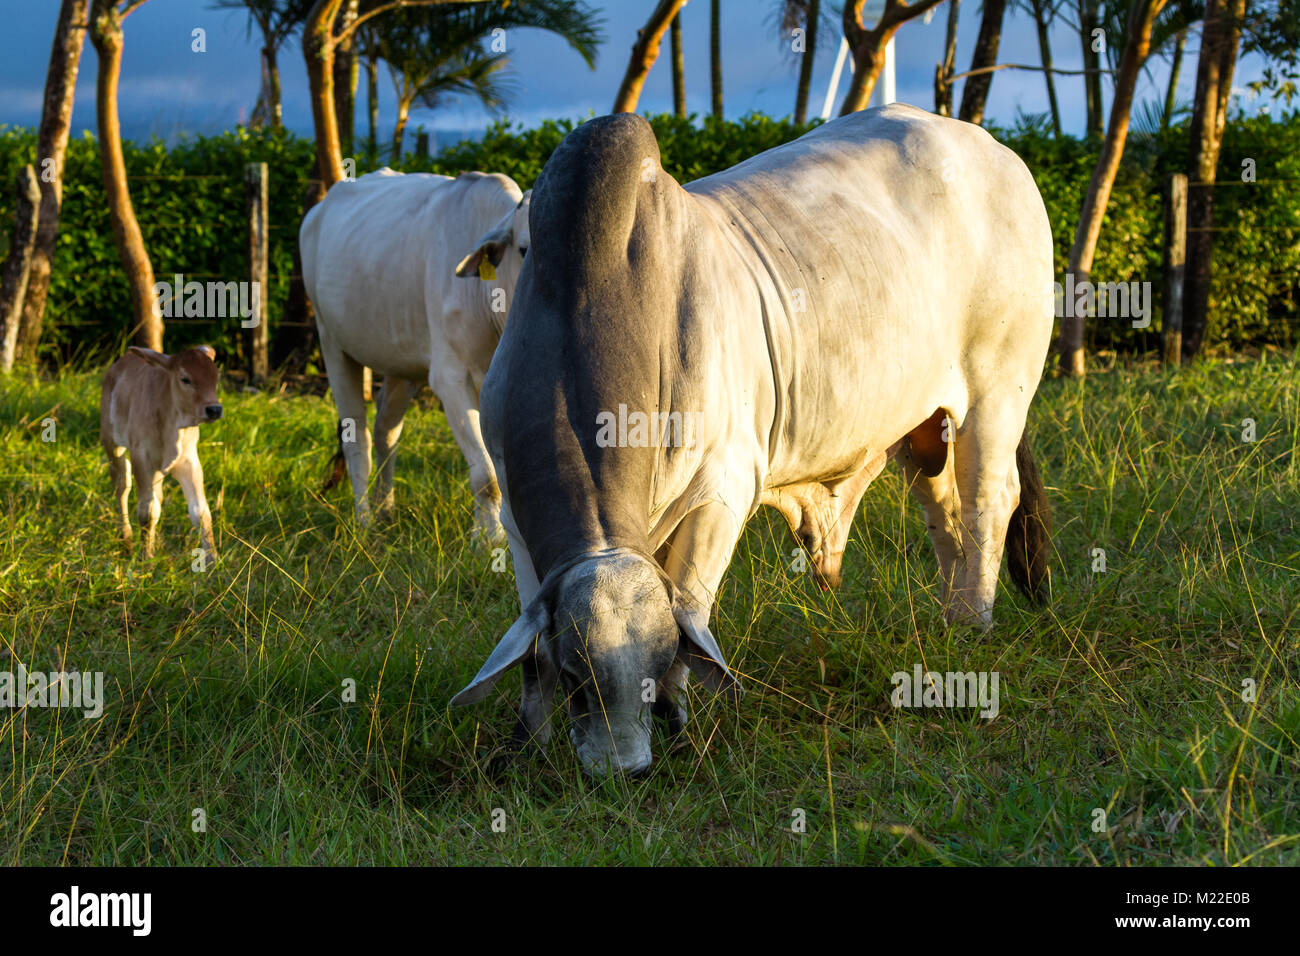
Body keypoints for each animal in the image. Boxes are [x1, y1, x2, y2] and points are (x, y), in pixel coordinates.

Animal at [100, 345, 222, 561]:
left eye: (216, 378)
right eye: (185, 379)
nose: (214, 409)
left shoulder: (189, 461)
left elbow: (200, 512)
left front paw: (212, 561)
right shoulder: (142, 459)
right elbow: (147, 512)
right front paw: (146, 558)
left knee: (157, 497)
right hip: (112, 444)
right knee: (121, 486)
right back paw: (127, 540)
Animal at [299, 164, 533, 538]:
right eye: (524, 249)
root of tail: (317, 211)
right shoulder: (451, 379)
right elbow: (487, 477)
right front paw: (488, 540)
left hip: (401, 366)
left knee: (386, 433)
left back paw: (385, 509)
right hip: (332, 343)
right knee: (357, 439)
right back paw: (364, 521)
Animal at [449, 106, 1055, 780]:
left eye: (652, 669)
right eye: (579, 679)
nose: (625, 770)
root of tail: (992, 147)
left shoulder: (721, 491)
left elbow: (689, 608)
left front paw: (680, 724)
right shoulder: (517, 520)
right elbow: (532, 653)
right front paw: (526, 741)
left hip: (997, 396)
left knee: (988, 504)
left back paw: (975, 623)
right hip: (927, 426)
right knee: (944, 512)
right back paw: (951, 621)